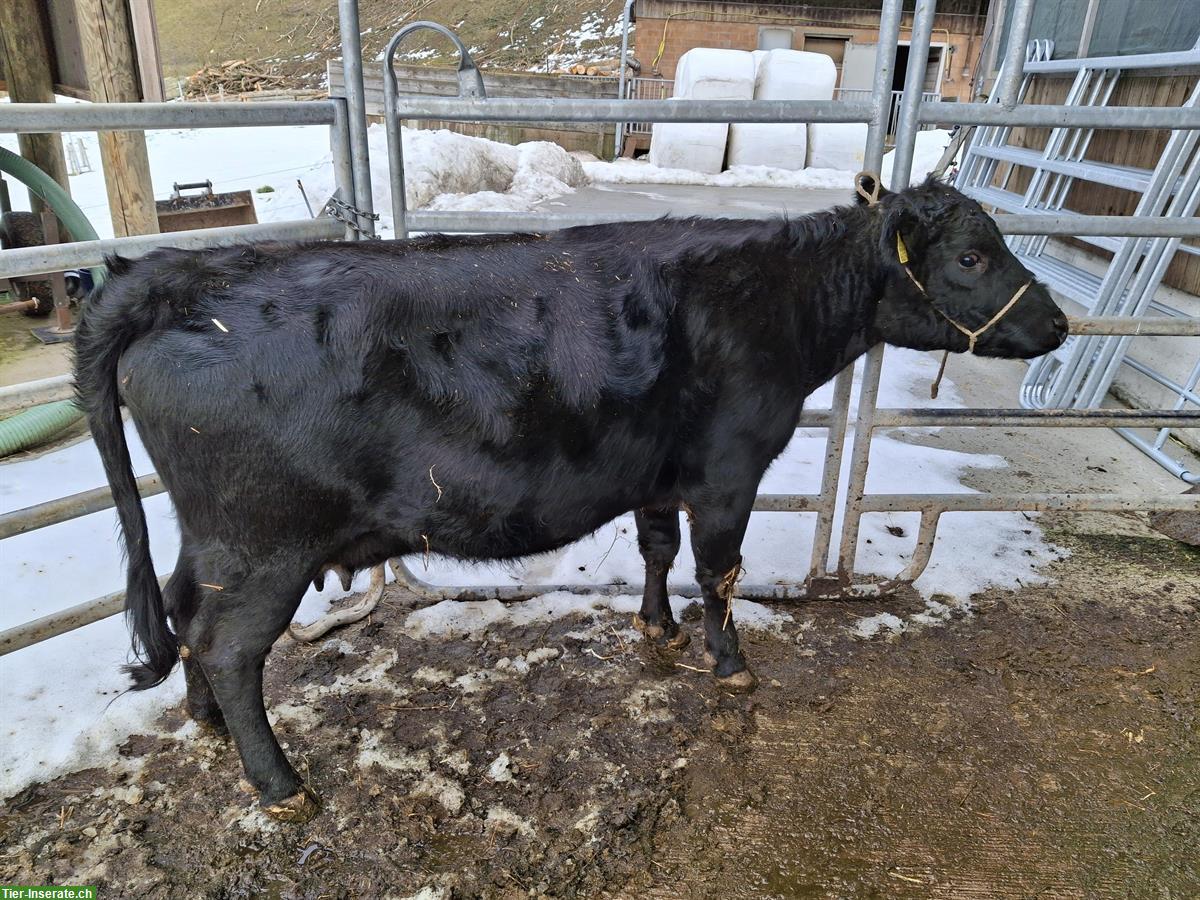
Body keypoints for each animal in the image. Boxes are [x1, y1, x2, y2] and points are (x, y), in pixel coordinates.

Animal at [75, 177, 1067, 821]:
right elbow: (720, 572)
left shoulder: (659, 473)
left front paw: (656, 631)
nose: (1059, 323)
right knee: (229, 646)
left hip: (214, 538)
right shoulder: (728, 469)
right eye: (973, 254)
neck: (769, 300)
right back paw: (280, 785)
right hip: (265, 544)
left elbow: (660, 550)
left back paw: (205, 722)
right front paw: (729, 661)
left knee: (183, 609)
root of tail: (174, 276)